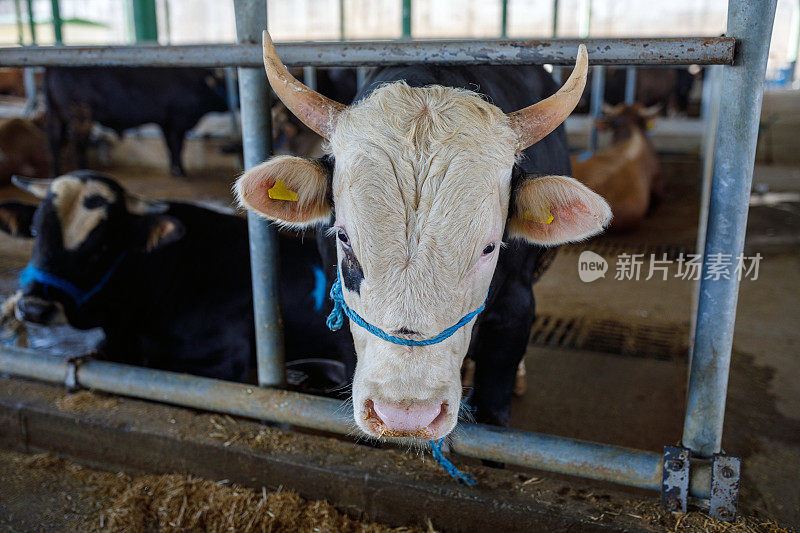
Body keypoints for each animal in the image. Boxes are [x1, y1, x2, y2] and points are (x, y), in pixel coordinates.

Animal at [45, 67, 228, 177]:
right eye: (226, 85)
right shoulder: (178, 121)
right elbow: (178, 147)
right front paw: (181, 172)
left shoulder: (166, 123)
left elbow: (169, 147)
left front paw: (173, 170)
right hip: (80, 115)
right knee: (79, 144)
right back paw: (83, 170)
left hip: (56, 116)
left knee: (55, 144)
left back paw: (56, 174)